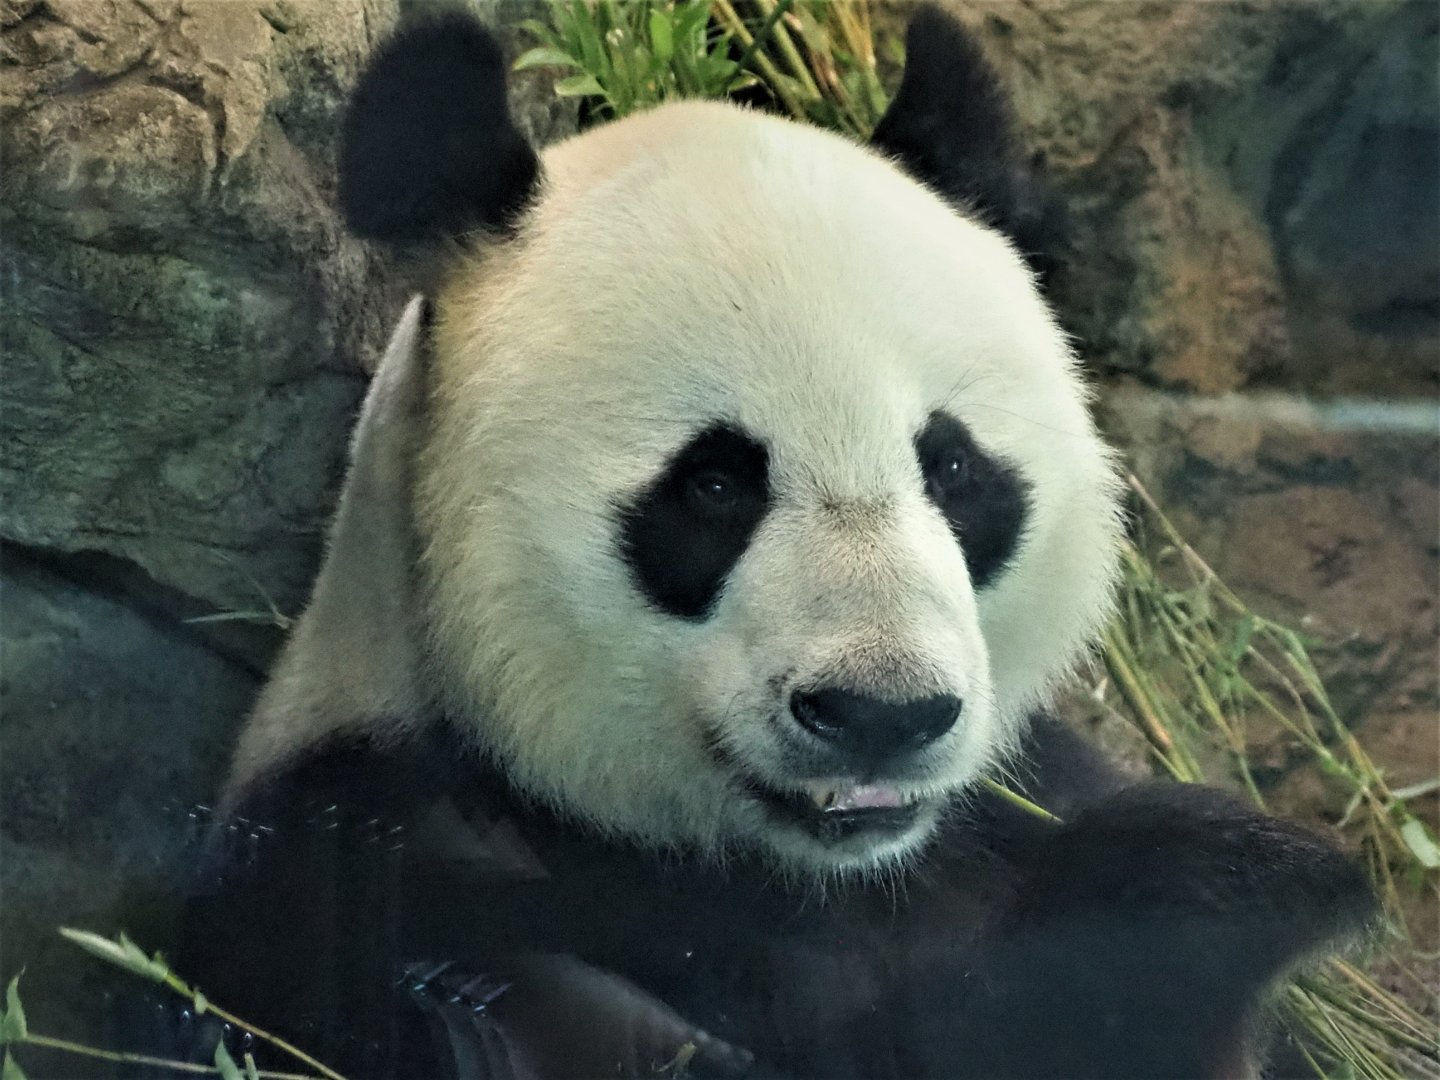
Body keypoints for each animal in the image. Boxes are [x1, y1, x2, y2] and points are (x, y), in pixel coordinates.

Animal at [179, 7, 1375, 1079]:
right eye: (714, 486)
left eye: (952, 470)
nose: (882, 714)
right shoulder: (372, 876)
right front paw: (1215, 882)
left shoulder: (1010, 797)